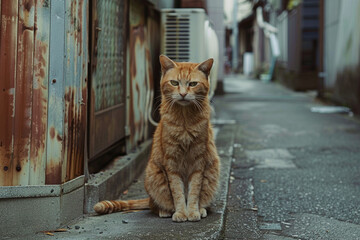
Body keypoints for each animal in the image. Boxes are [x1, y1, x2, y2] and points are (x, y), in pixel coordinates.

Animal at [93, 55, 221, 222]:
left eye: (193, 84)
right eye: (174, 83)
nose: (183, 94)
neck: (184, 119)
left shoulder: (198, 163)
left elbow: (194, 191)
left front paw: (193, 212)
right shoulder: (171, 164)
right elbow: (178, 192)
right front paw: (181, 213)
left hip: (212, 171)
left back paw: (201, 209)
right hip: (154, 174)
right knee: (155, 205)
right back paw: (165, 211)